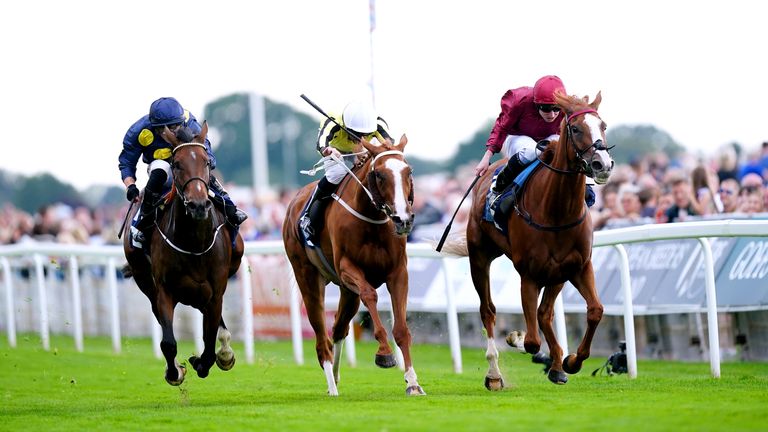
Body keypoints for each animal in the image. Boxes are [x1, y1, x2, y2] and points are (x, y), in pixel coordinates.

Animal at [121, 122, 244, 384]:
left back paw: (225, 351)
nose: (198, 205)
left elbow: (209, 343)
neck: (194, 243)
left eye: (207, 162)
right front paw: (175, 371)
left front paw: (204, 360)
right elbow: (168, 341)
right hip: (144, 279)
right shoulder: (164, 291)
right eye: (177, 163)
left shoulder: (215, 292)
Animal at [282, 137, 426, 396]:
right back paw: (331, 383)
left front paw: (412, 381)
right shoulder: (348, 268)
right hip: (307, 277)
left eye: (408, 171)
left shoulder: (398, 272)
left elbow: (401, 329)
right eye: (379, 174)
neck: (373, 220)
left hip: (348, 293)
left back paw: (336, 375)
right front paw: (384, 354)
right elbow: (370, 294)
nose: (403, 219)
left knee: (339, 327)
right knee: (321, 335)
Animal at [444, 91, 612, 388]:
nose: (602, 164)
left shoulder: (578, 266)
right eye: (576, 128)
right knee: (488, 310)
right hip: (480, 257)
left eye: (602, 125)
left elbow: (594, 310)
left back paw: (556, 364)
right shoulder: (529, 274)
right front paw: (519, 339)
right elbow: (532, 341)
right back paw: (495, 373)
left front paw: (571, 361)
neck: (556, 210)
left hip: (557, 274)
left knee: (545, 314)